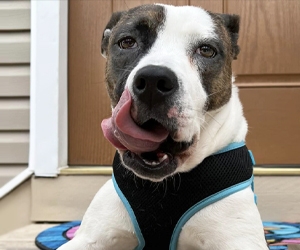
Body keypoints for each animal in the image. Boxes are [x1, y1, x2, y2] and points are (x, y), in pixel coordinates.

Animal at [58, 3, 268, 250]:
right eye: (127, 42)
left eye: (207, 50)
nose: (153, 80)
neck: (163, 186)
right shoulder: (88, 239)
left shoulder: (240, 241)